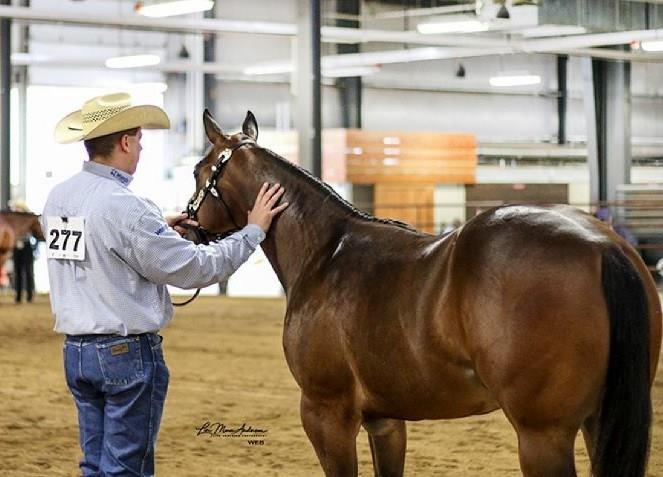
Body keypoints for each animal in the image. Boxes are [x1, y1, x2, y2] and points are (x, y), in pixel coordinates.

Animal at [189, 109, 662, 477]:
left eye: (197, 171)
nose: (187, 225)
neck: (326, 253)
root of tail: (601, 244)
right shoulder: (385, 420)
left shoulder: (326, 413)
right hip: (597, 421)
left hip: (542, 434)